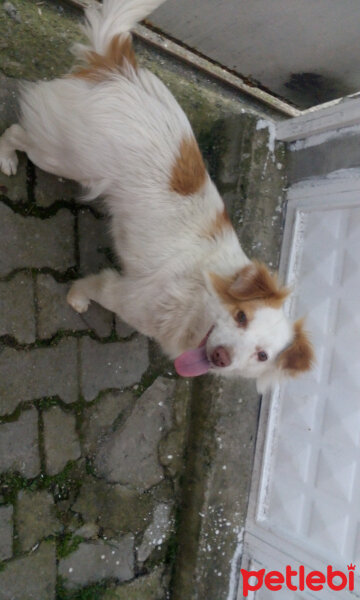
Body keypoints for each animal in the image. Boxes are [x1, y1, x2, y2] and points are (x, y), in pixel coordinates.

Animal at [0, 0, 312, 394]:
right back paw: (7, 159)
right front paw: (77, 299)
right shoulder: (125, 295)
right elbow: (92, 286)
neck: (203, 295)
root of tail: (120, 67)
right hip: (62, 157)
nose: (220, 357)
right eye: (240, 316)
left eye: (262, 356)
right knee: (14, 132)